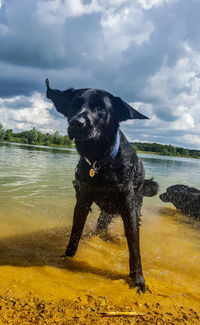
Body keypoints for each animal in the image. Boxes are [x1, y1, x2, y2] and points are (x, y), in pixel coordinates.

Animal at [45, 79, 158, 292]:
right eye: (75, 104)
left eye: (101, 108)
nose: (76, 122)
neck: (100, 162)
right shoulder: (82, 200)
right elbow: (75, 234)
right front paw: (67, 258)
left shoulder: (129, 207)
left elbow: (134, 246)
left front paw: (138, 279)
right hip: (105, 213)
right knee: (100, 226)